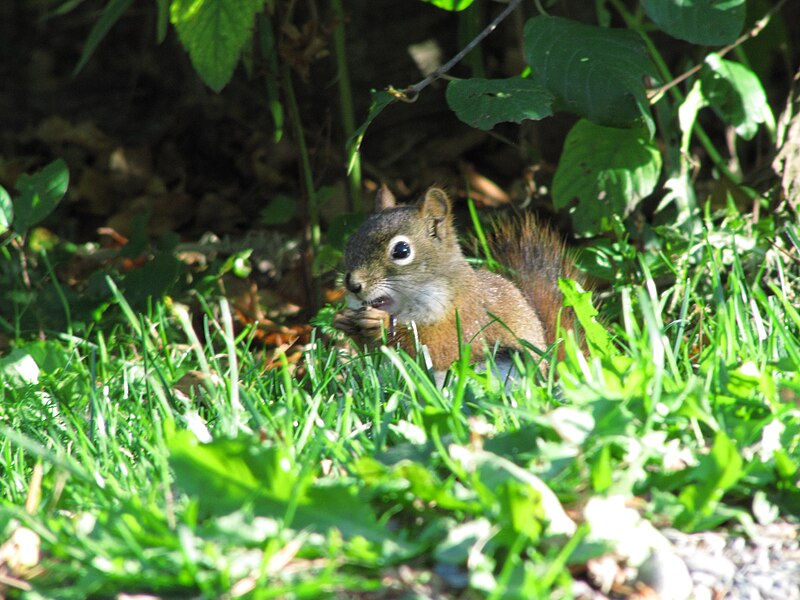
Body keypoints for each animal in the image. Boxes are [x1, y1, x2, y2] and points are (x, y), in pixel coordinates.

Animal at [334, 185, 584, 378]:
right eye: (351, 241)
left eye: (402, 251)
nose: (353, 286)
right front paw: (343, 321)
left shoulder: (468, 315)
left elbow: (445, 347)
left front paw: (382, 324)